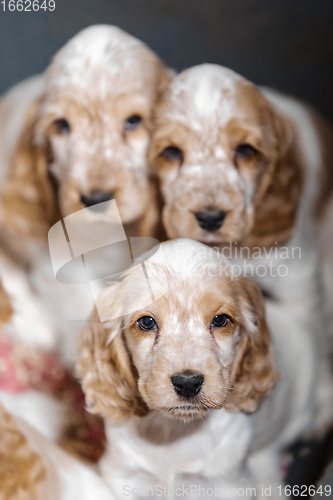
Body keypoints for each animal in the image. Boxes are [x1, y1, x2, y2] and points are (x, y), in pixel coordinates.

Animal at [76, 240, 326, 498]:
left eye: (220, 320)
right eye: (146, 322)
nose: (187, 383)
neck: (174, 432)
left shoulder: (231, 483)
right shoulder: (123, 475)